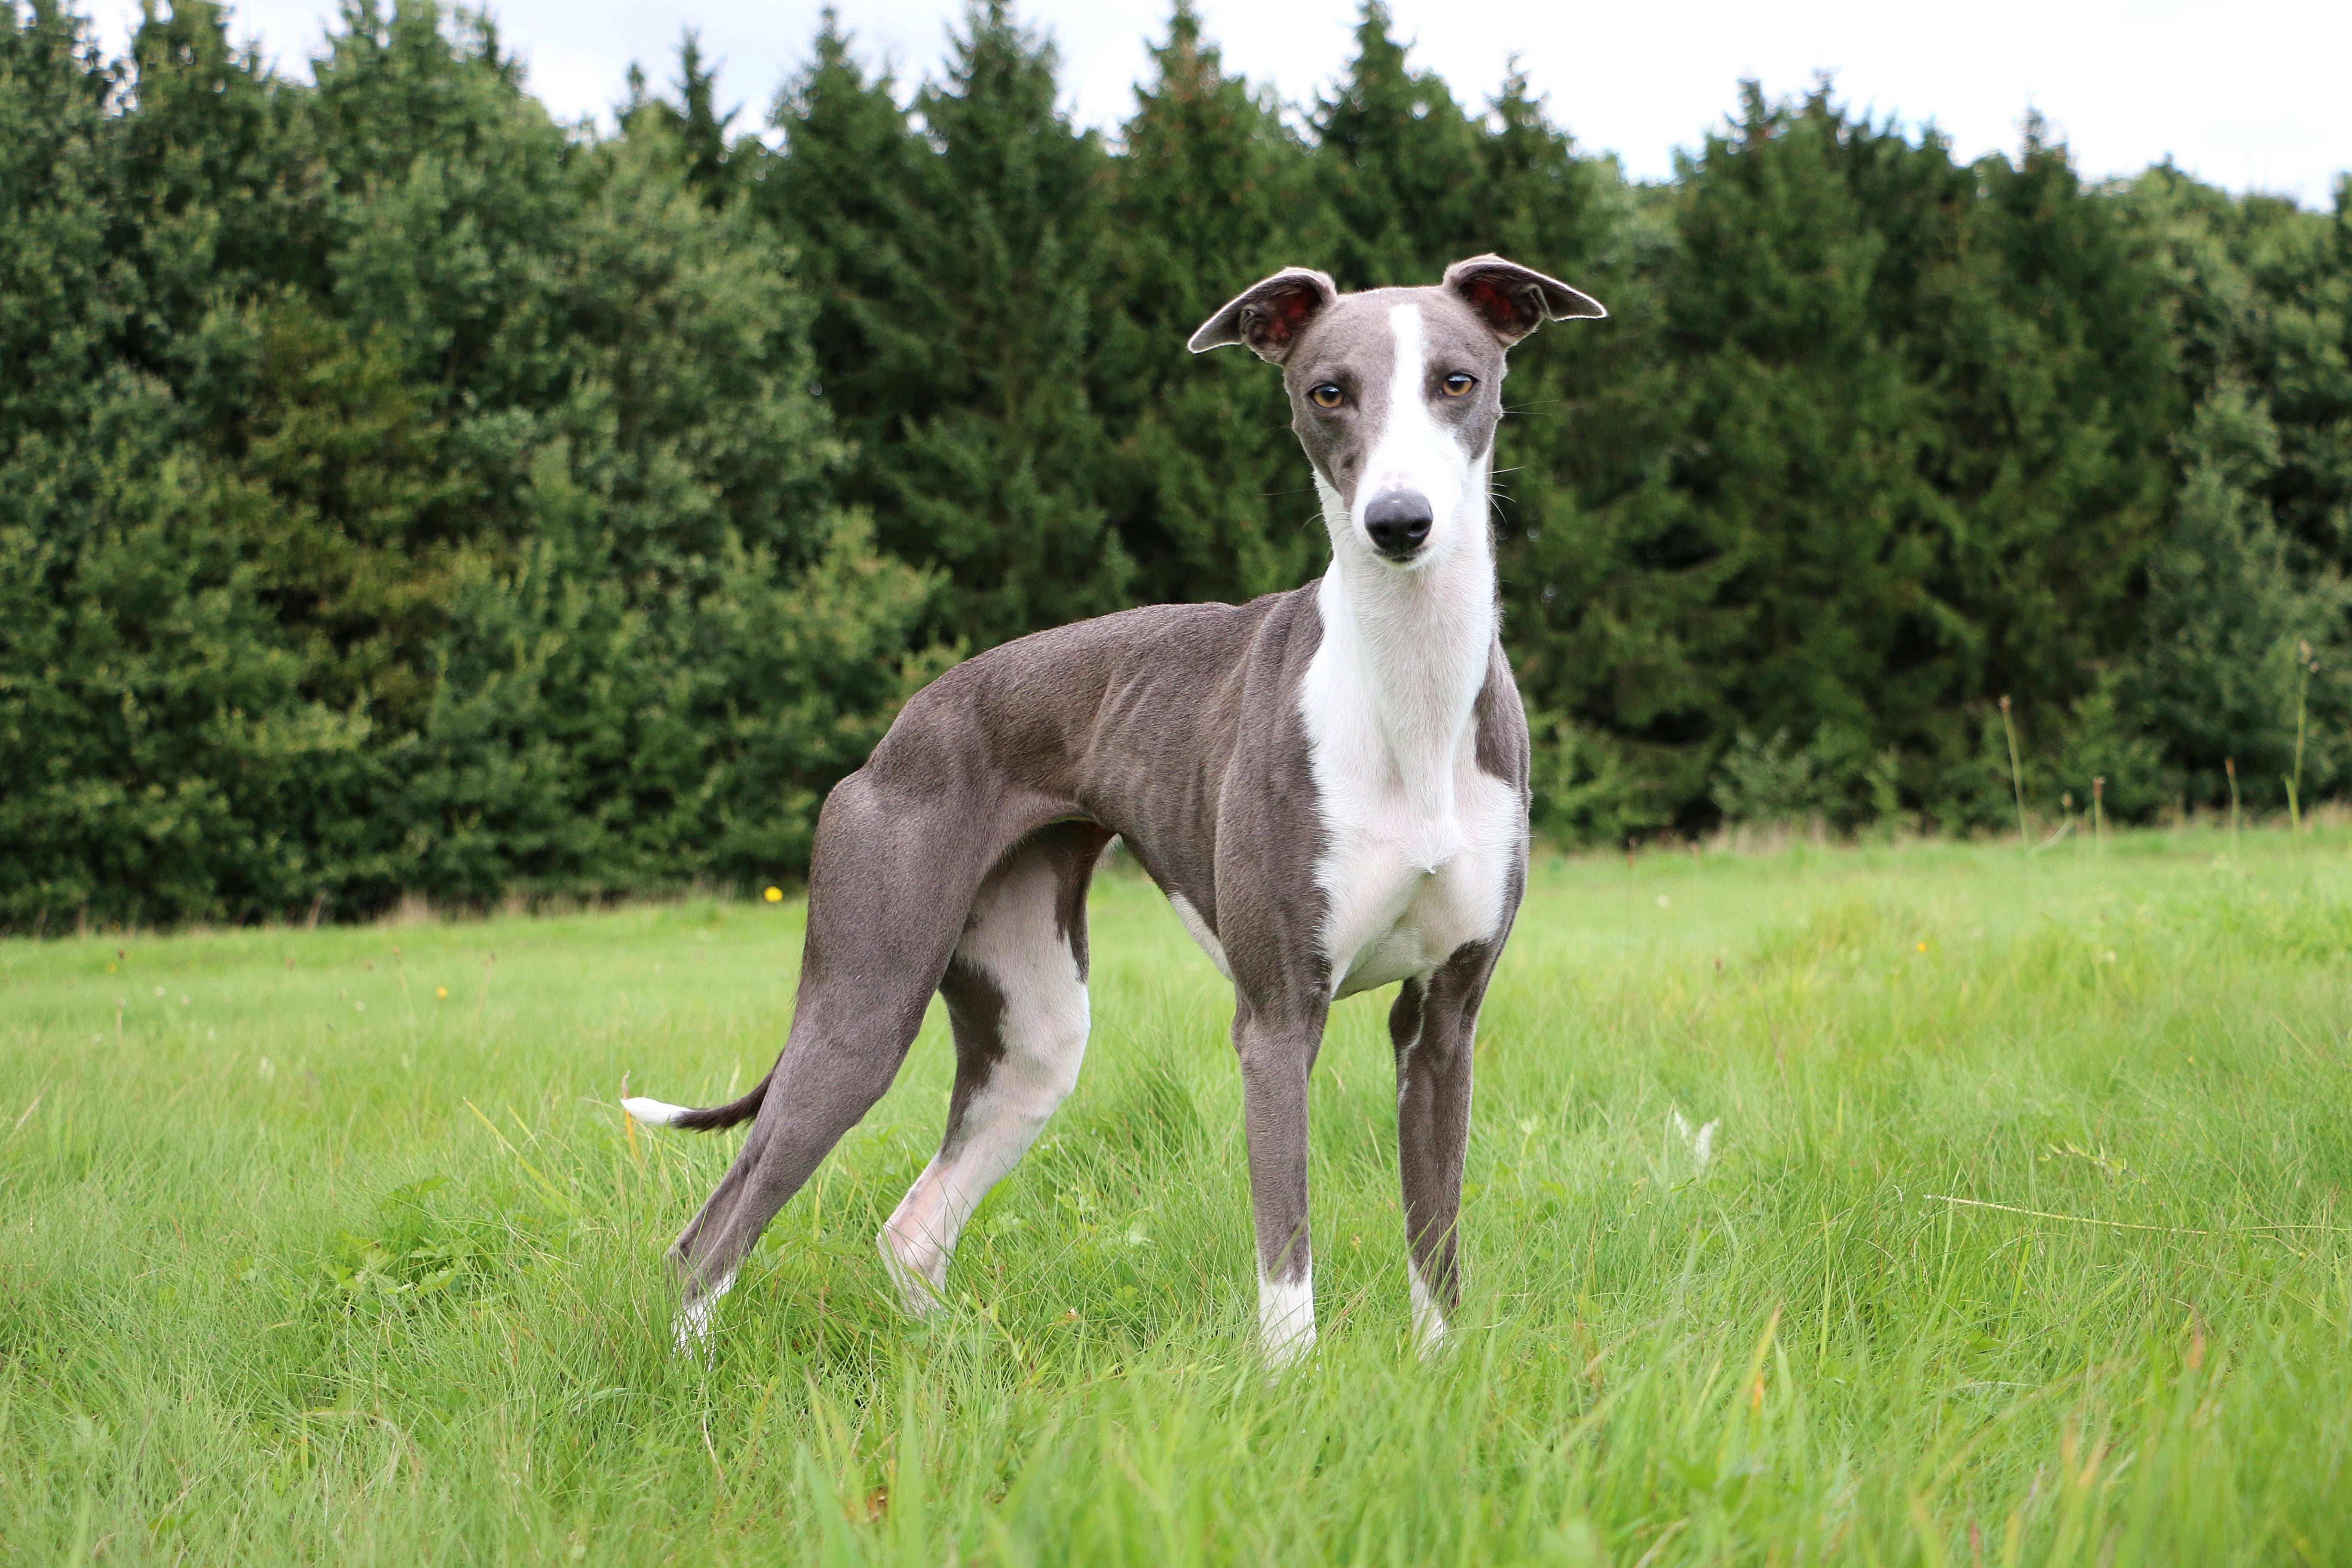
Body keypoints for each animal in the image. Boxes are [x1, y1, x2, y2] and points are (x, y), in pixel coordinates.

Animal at [625, 255, 1608, 1363]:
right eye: (1328, 390)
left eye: (1457, 380)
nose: (1399, 523)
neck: (1408, 694)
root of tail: (896, 735)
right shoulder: (1277, 1023)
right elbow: (1286, 1269)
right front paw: (1292, 1390)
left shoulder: (1442, 1023)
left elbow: (1435, 1261)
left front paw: (1436, 1377)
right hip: (862, 1010)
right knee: (710, 1235)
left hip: (1034, 1034)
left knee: (911, 1227)